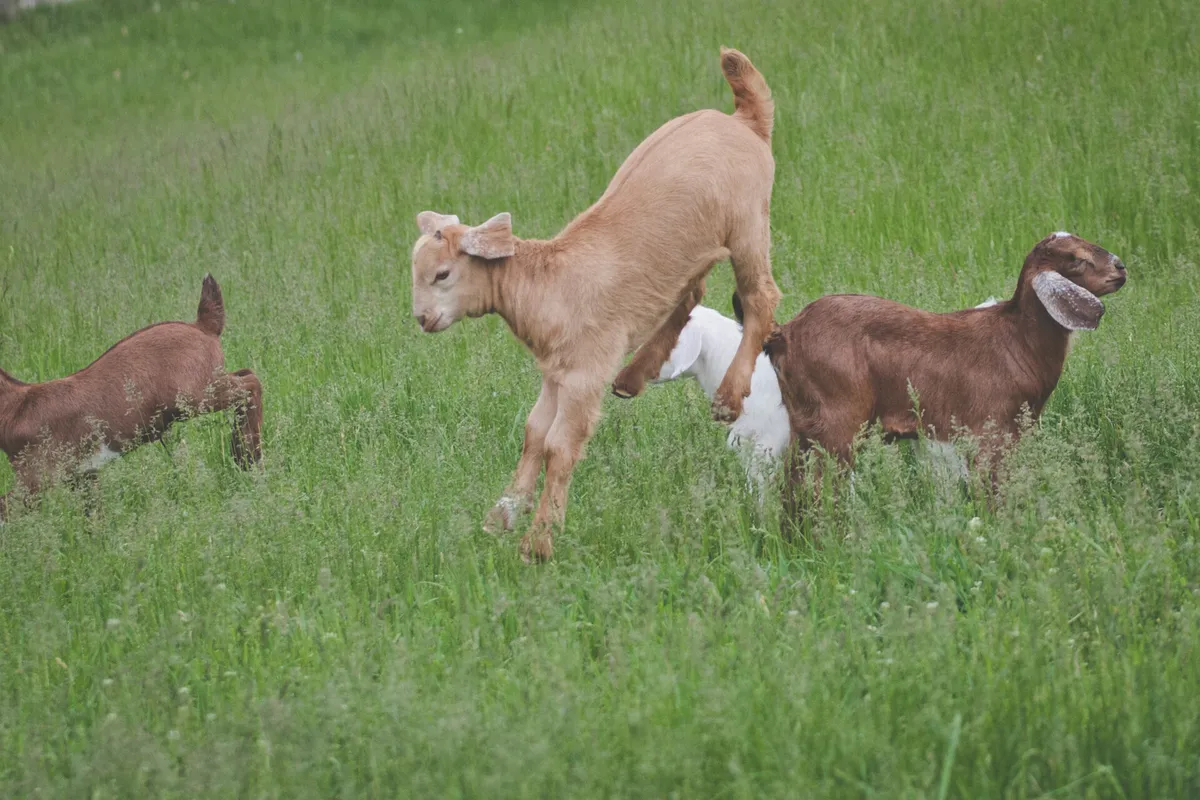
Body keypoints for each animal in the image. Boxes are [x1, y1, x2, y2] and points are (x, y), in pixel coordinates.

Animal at [0, 275, 263, 521]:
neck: (16, 407)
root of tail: (202, 326)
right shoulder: (84, 474)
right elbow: (95, 517)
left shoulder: (35, 477)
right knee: (246, 375)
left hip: (194, 396)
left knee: (251, 383)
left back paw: (248, 457)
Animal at [411, 48, 780, 561]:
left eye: (443, 274)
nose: (422, 319)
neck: (547, 283)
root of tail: (743, 119)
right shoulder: (557, 373)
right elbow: (533, 434)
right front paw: (501, 516)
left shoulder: (583, 372)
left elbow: (559, 447)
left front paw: (539, 542)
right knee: (690, 293)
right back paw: (633, 375)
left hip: (748, 223)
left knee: (760, 296)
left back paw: (728, 396)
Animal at [763, 232, 1126, 511]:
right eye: (1075, 258)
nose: (1121, 268)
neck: (1017, 342)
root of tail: (785, 334)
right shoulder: (990, 433)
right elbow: (991, 495)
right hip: (838, 421)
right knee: (821, 489)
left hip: (805, 425)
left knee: (793, 487)